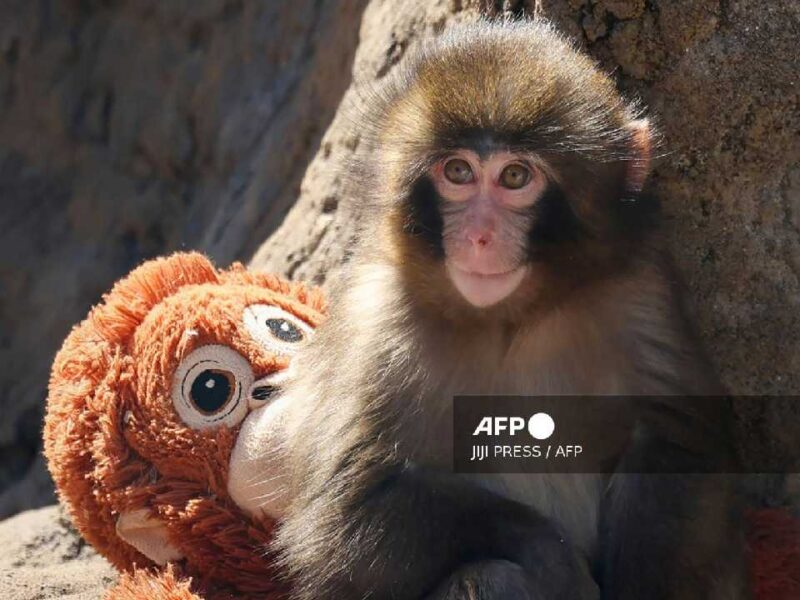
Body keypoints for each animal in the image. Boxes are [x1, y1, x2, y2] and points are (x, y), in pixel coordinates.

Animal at [227, 19, 749, 600]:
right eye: (457, 171)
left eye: (515, 178)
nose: (479, 236)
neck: (509, 320)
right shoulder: (376, 322)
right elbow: (345, 516)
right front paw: (552, 556)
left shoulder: (639, 291)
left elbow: (677, 442)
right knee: (490, 576)